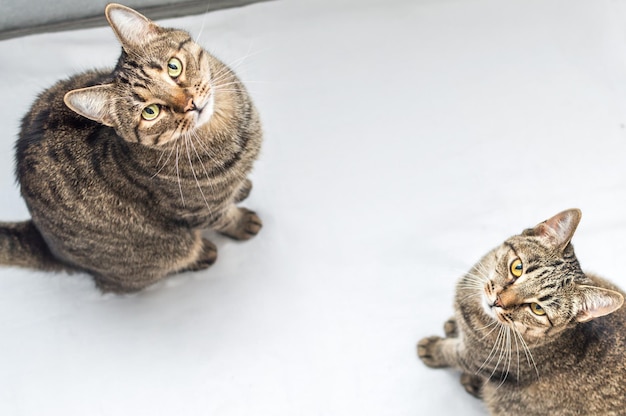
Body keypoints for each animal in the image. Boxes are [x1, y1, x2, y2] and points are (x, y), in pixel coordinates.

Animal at [0, 3, 262, 290]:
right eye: (150, 111)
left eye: (173, 67)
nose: (191, 103)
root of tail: (44, 242)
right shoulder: (199, 210)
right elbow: (225, 218)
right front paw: (242, 222)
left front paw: (241, 188)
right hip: (160, 251)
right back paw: (202, 254)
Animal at [414, 210, 624, 414]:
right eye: (517, 268)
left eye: (537, 309)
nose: (497, 301)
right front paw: (453, 326)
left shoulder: (477, 360)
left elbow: (451, 353)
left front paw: (433, 349)